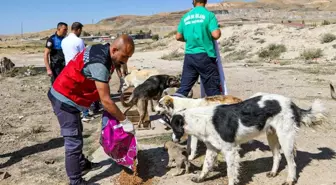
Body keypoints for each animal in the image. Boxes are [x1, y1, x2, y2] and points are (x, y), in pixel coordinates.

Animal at [169, 92, 326, 185]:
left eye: (173, 127)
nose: (173, 140)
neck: (201, 119)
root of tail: (291, 103)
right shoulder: (212, 149)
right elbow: (206, 166)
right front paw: (200, 178)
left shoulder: (230, 151)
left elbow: (230, 173)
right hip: (272, 136)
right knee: (277, 156)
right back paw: (273, 172)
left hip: (285, 138)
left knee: (291, 162)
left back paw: (290, 180)